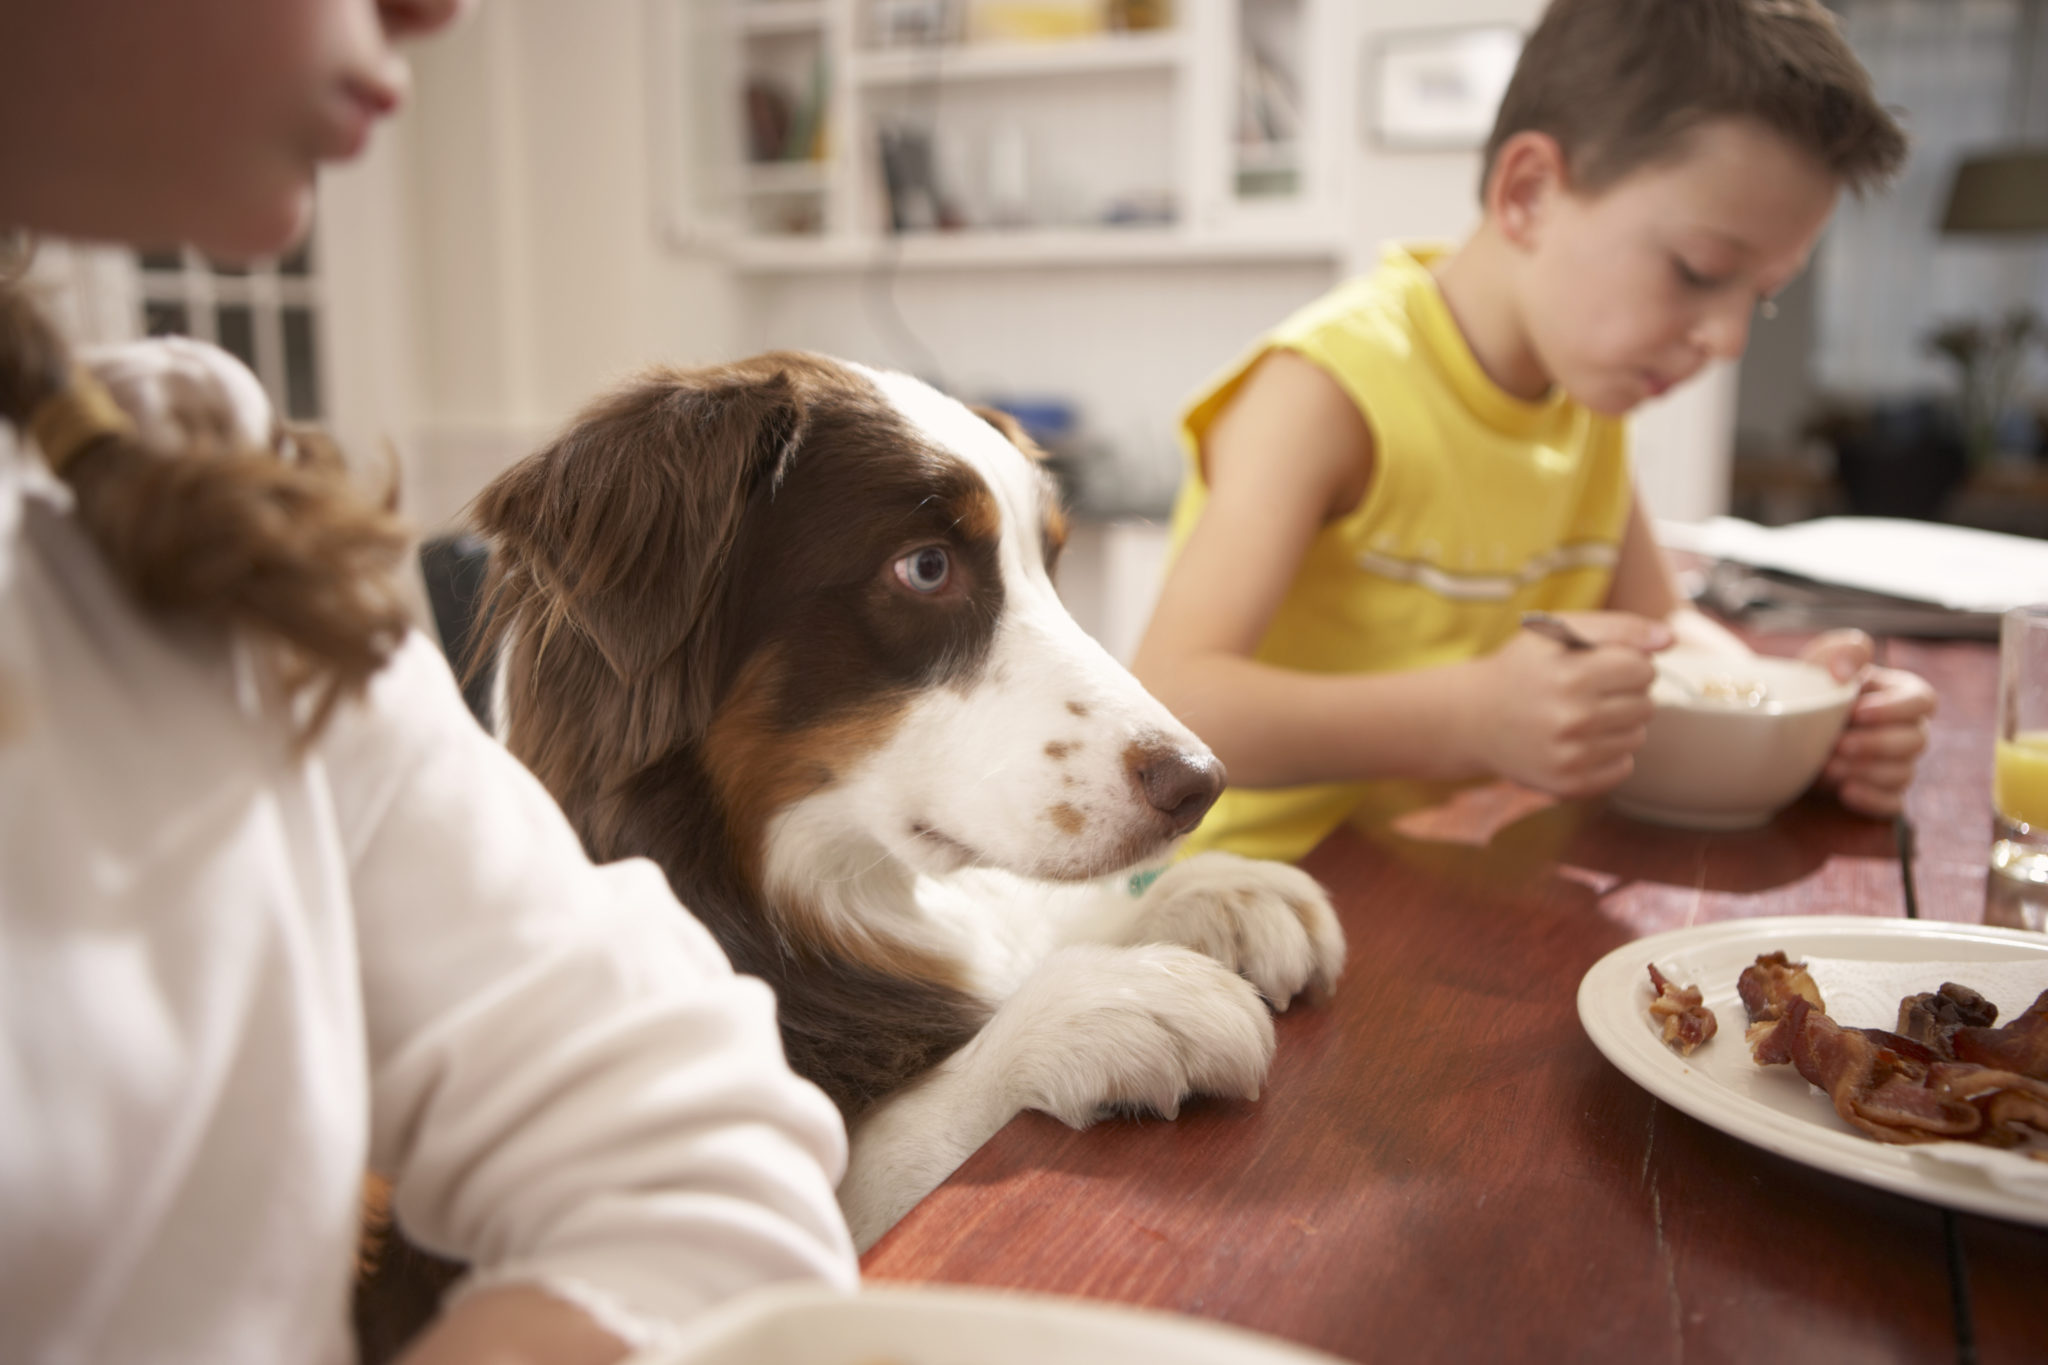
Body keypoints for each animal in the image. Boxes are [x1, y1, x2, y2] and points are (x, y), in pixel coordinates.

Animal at [471, 351, 1351, 1252]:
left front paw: (1216, 892)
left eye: (1050, 565)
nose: (1199, 783)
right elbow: (893, 1136)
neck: (783, 894)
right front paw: (1109, 1003)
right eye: (926, 567)